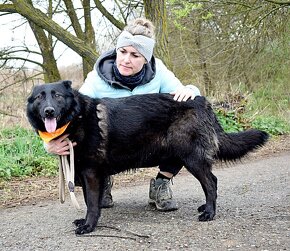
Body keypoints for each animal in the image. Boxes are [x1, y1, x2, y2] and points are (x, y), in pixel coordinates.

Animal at [27, 81, 270, 235]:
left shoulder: (92, 173)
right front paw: (86, 221)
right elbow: (89, 201)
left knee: (210, 182)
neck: (77, 118)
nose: (49, 111)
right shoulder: (88, 174)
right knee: (212, 181)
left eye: (57, 95)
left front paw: (89, 226)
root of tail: (202, 101)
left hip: (191, 157)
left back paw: (210, 212)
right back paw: (205, 207)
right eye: (39, 98)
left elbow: (92, 204)